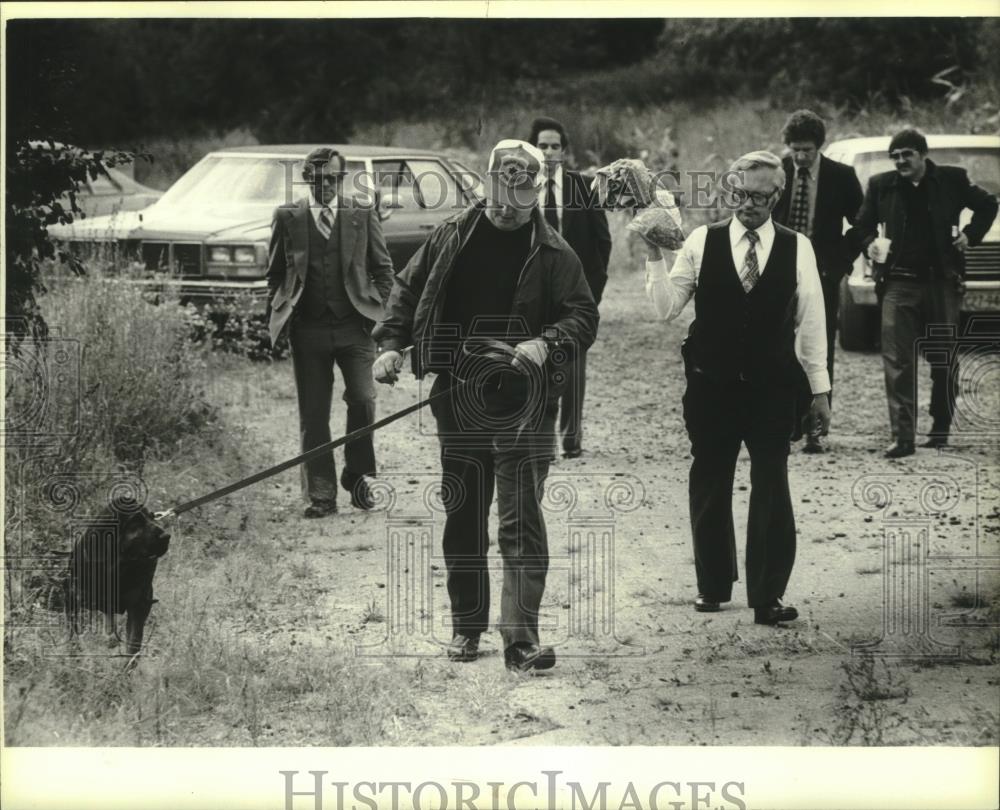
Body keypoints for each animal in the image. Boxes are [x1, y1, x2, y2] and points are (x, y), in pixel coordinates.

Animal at [66, 498, 172, 656]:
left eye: (152, 517)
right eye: (136, 522)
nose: (166, 536)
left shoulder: (139, 607)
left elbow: (132, 645)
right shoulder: (76, 599)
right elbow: (74, 634)